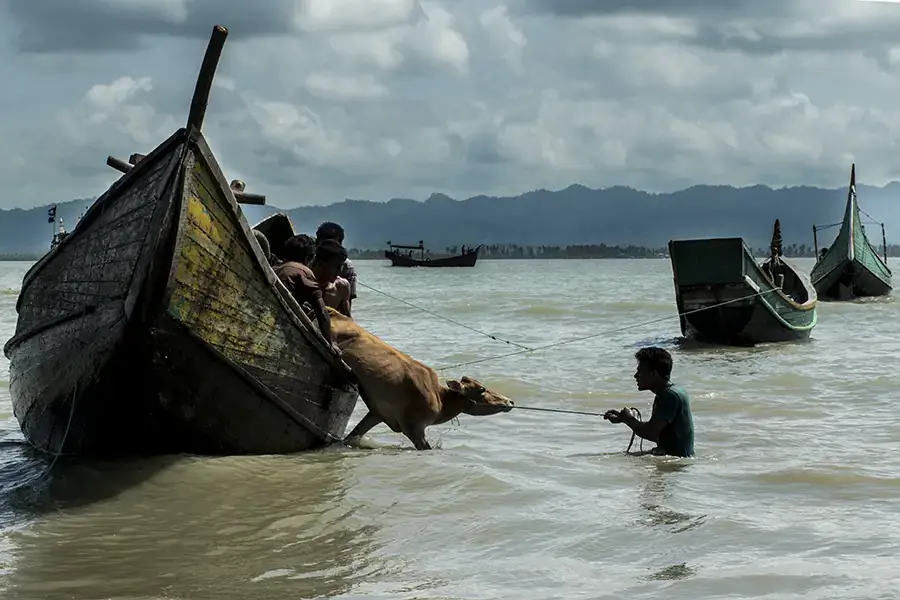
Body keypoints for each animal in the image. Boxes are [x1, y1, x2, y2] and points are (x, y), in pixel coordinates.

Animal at [328, 308, 512, 448]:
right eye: (482, 389)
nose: (510, 401)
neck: (441, 398)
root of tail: (333, 312)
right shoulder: (414, 429)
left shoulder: (377, 414)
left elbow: (353, 435)